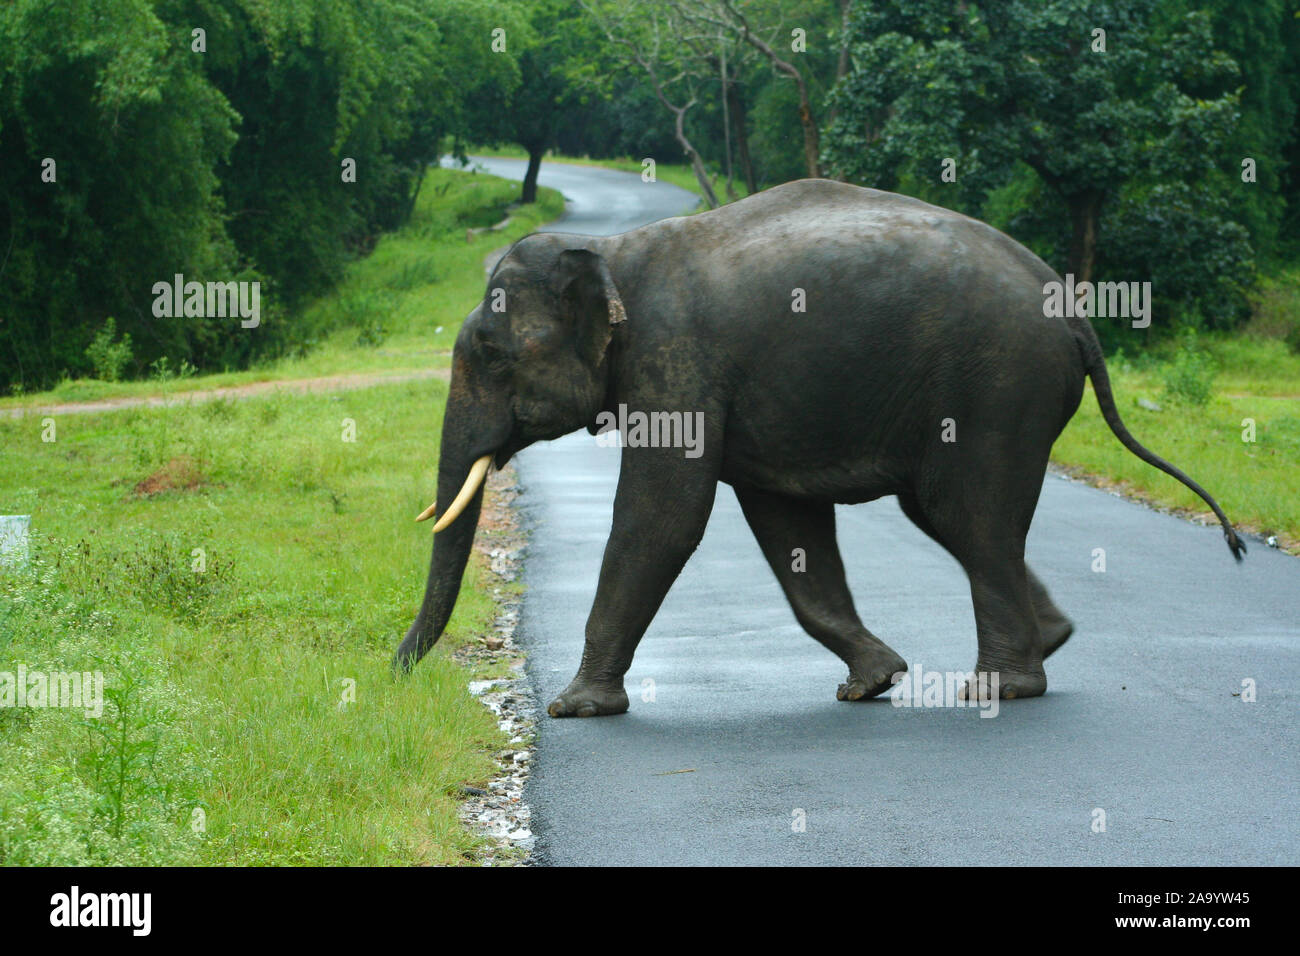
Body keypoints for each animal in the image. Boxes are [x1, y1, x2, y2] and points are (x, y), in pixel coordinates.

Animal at [390, 179, 1242, 717]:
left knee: (966, 515)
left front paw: (575, 709)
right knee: (950, 516)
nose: (392, 673)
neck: (610, 248)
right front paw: (873, 683)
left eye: (492, 354)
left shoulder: (677, 363)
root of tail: (1075, 314)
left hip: (998, 384)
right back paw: (1050, 643)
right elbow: (786, 525)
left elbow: (664, 518)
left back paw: (998, 691)